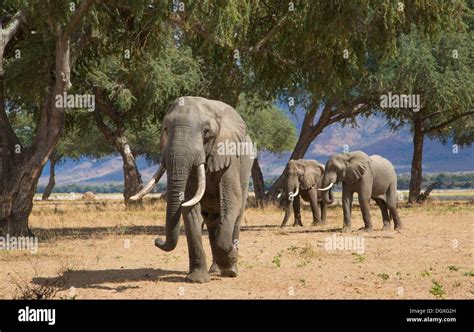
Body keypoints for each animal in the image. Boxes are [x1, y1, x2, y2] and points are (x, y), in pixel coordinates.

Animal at [130, 96, 256, 282]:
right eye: (165, 129)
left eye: (206, 132)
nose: (157, 240)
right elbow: (190, 209)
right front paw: (197, 279)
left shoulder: (229, 157)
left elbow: (231, 202)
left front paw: (230, 263)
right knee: (212, 220)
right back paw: (215, 269)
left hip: (246, 170)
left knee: (236, 215)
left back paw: (230, 269)